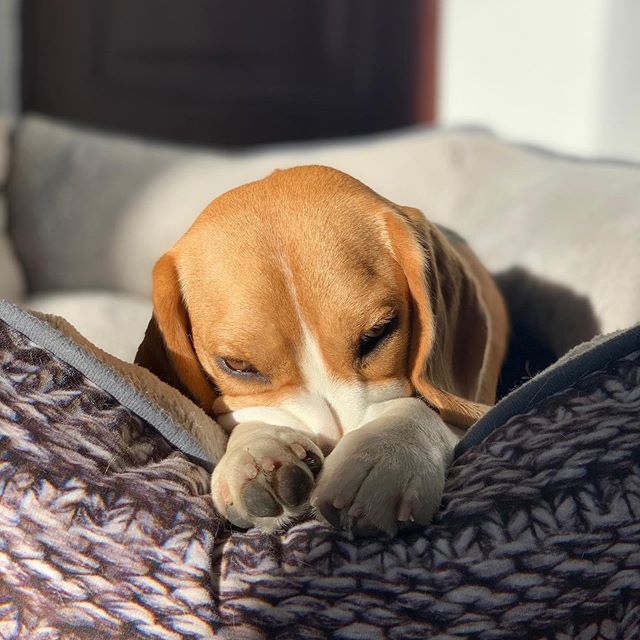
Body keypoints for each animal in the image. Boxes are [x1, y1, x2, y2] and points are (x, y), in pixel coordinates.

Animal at [136, 165, 510, 536]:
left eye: (377, 332)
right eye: (237, 364)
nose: (332, 448)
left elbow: (423, 409)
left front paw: (384, 453)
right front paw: (257, 451)